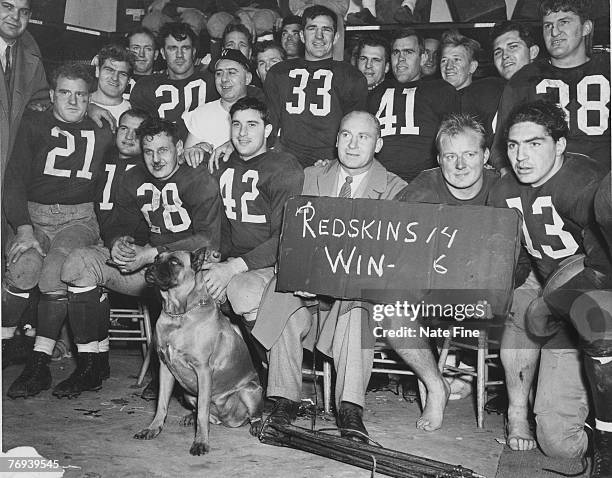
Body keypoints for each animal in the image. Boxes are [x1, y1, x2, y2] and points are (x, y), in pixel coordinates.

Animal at [134, 248, 262, 454]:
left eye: (174, 262)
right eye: (156, 258)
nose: (150, 269)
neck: (179, 316)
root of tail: (227, 420)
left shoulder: (203, 371)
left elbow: (202, 412)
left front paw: (201, 441)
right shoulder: (165, 368)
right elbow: (161, 405)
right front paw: (153, 428)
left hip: (249, 390)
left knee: (254, 413)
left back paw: (257, 424)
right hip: (188, 393)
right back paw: (189, 416)